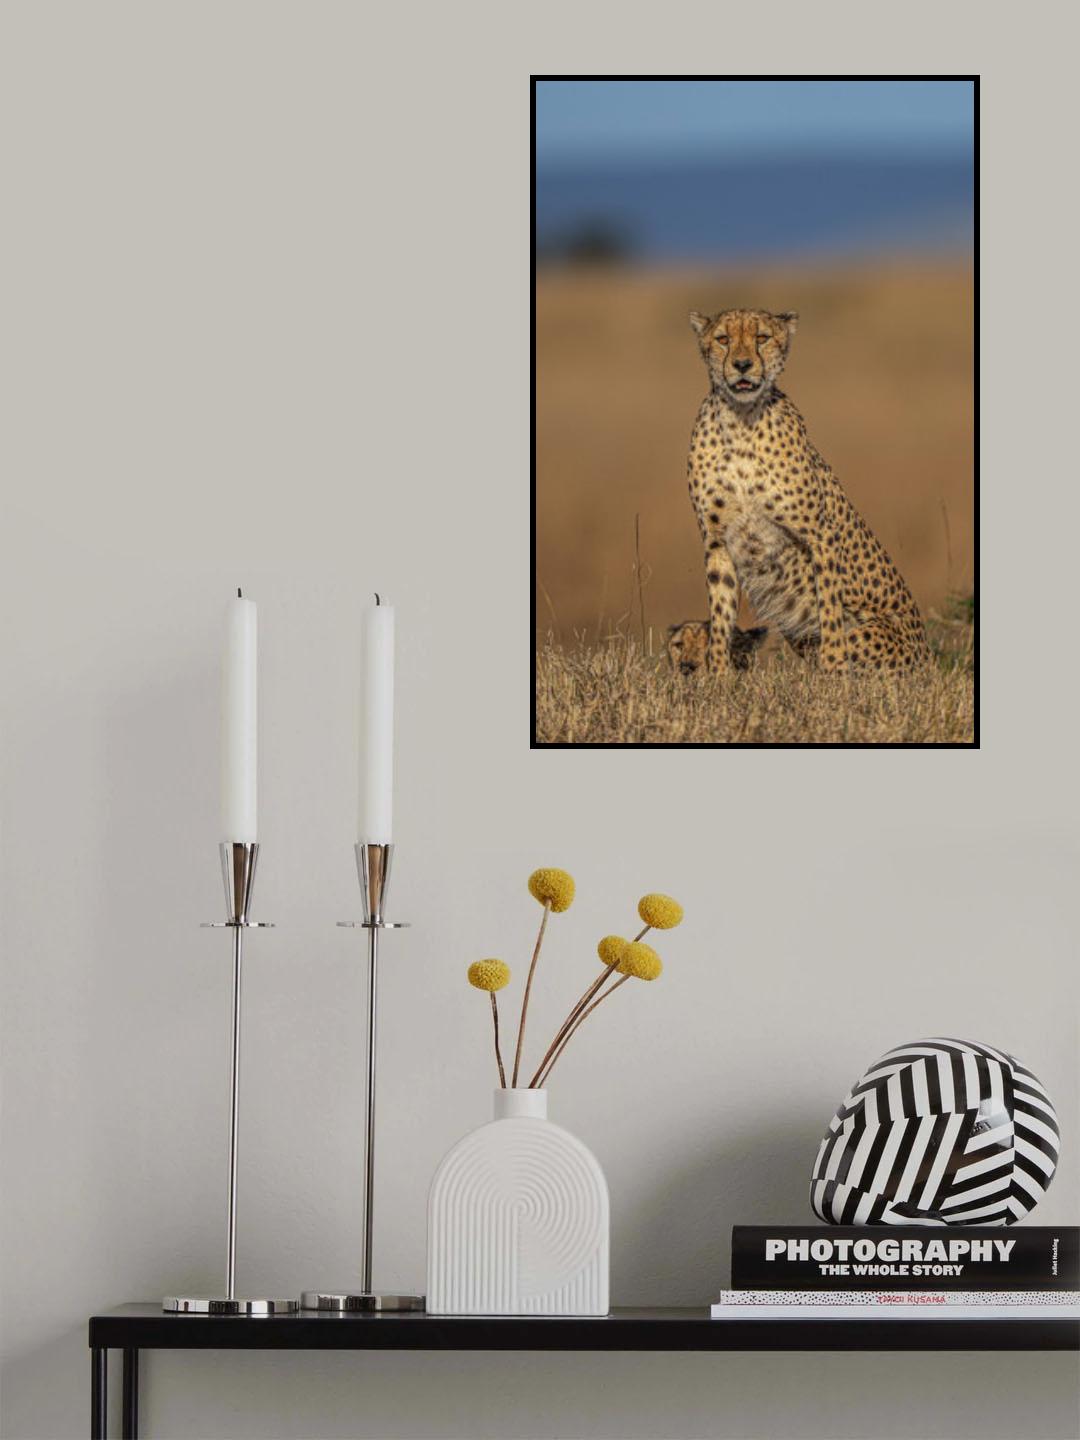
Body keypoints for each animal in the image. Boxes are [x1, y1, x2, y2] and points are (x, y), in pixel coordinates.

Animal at [686, 307, 930, 674]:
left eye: (762, 338)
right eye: (723, 339)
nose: (742, 364)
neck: (741, 419)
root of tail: (929, 654)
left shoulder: (821, 535)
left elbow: (829, 609)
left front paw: (833, 670)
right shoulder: (716, 541)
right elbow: (720, 612)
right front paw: (716, 674)